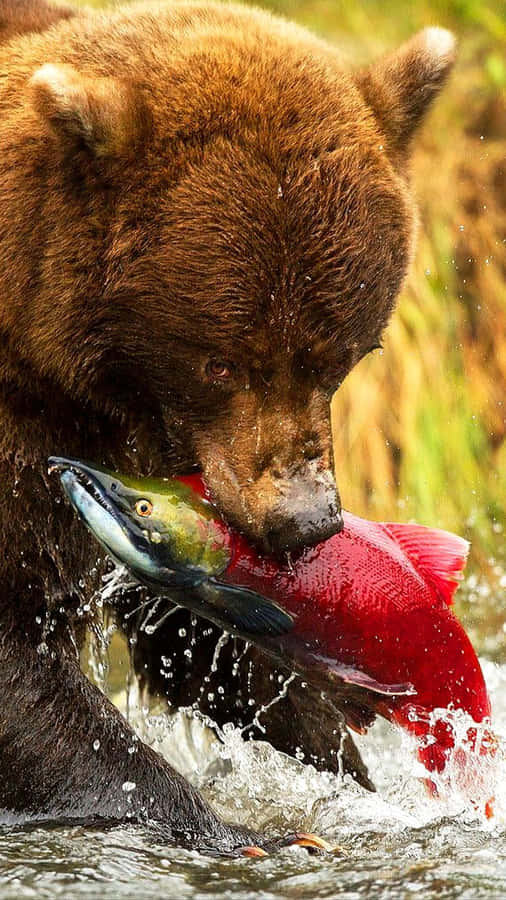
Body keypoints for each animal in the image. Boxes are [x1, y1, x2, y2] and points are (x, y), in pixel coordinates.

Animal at [0, 0, 455, 853]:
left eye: (345, 353)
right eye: (222, 363)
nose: (303, 520)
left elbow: (210, 642)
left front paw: (347, 777)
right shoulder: (29, 428)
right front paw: (228, 824)